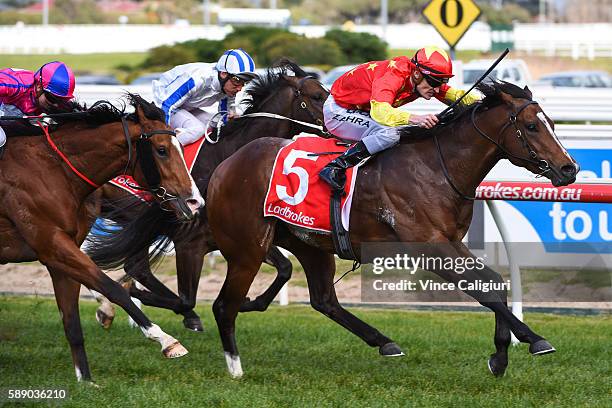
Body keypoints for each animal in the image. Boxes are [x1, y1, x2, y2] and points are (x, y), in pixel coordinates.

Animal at [0, 95, 206, 382]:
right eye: (162, 150)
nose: (195, 201)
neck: (52, 170)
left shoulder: (59, 251)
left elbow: (72, 323)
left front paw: (86, 381)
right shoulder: (51, 243)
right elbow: (114, 288)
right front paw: (167, 341)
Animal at [86, 62, 330, 334]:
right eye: (317, 96)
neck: (228, 156)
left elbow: (285, 269)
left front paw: (249, 302)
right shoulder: (188, 239)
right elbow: (185, 298)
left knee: (135, 267)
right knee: (133, 267)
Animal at [204, 81, 580, 378]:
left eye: (551, 123)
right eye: (531, 126)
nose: (569, 168)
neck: (437, 166)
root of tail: (226, 164)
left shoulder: (450, 242)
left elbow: (494, 282)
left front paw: (501, 354)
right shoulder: (429, 247)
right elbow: (484, 291)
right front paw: (534, 340)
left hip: (308, 242)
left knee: (324, 300)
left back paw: (384, 342)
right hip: (248, 249)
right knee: (224, 305)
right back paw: (235, 367)